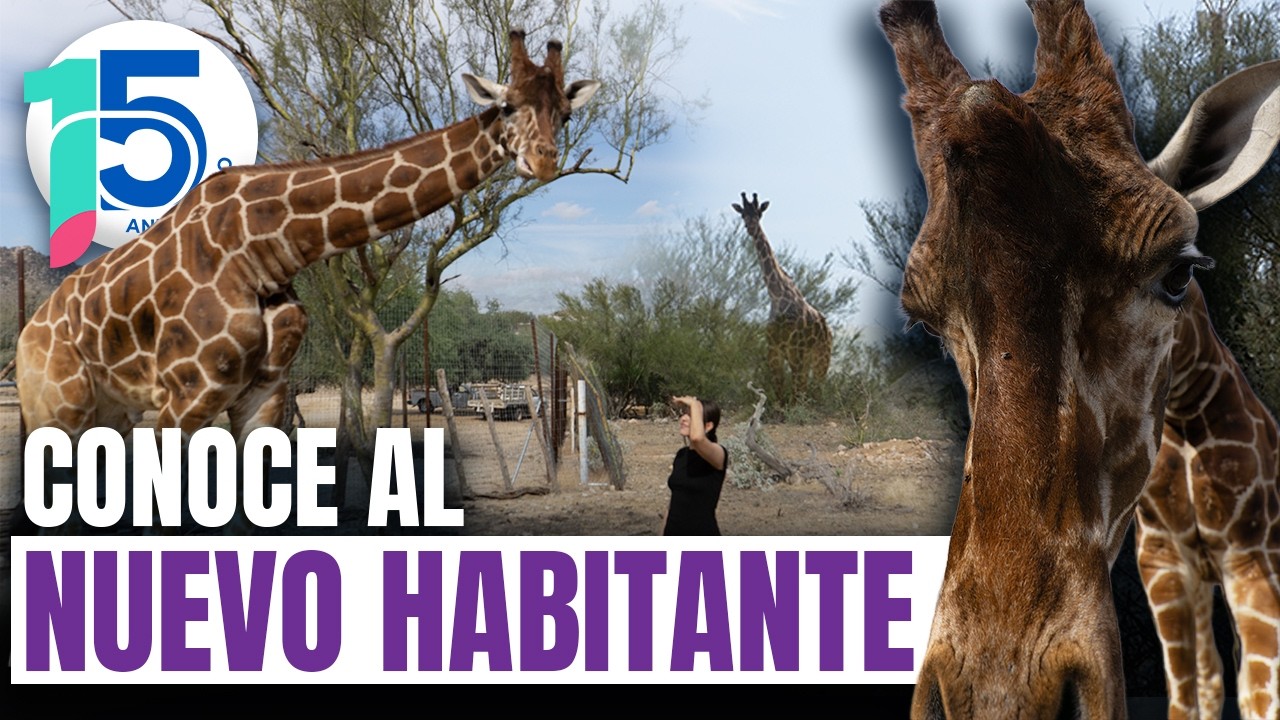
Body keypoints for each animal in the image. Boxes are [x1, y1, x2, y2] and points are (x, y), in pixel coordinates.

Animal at [16, 30, 598, 450]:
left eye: (565, 114)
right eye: (508, 106)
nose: (543, 160)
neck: (260, 251)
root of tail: (27, 332)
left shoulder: (265, 397)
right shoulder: (180, 400)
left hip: (110, 413)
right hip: (56, 407)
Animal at [731, 192, 833, 405]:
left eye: (759, 213)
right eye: (743, 214)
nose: (750, 227)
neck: (777, 295)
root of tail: (828, 329)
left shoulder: (795, 351)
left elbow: (794, 395)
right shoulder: (774, 351)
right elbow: (779, 395)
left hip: (822, 356)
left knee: (816, 389)